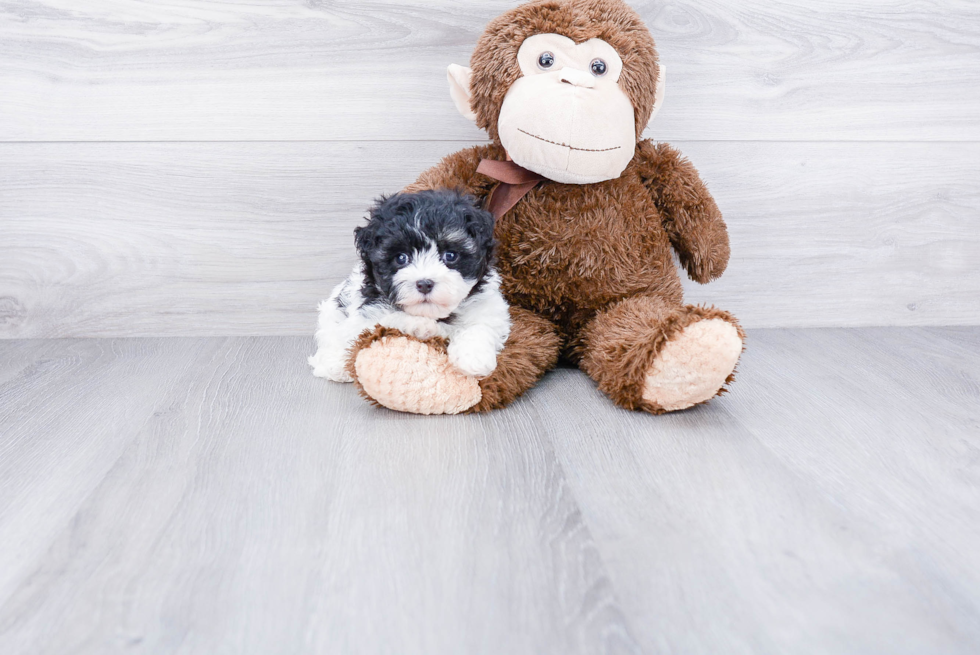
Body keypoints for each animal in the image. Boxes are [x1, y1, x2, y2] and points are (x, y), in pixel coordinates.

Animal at [308, 190, 512, 382]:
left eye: (450, 255)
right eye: (401, 258)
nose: (424, 284)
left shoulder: (489, 306)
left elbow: (482, 324)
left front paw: (474, 359)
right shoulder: (368, 313)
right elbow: (389, 318)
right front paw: (419, 325)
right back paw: (334, 365)